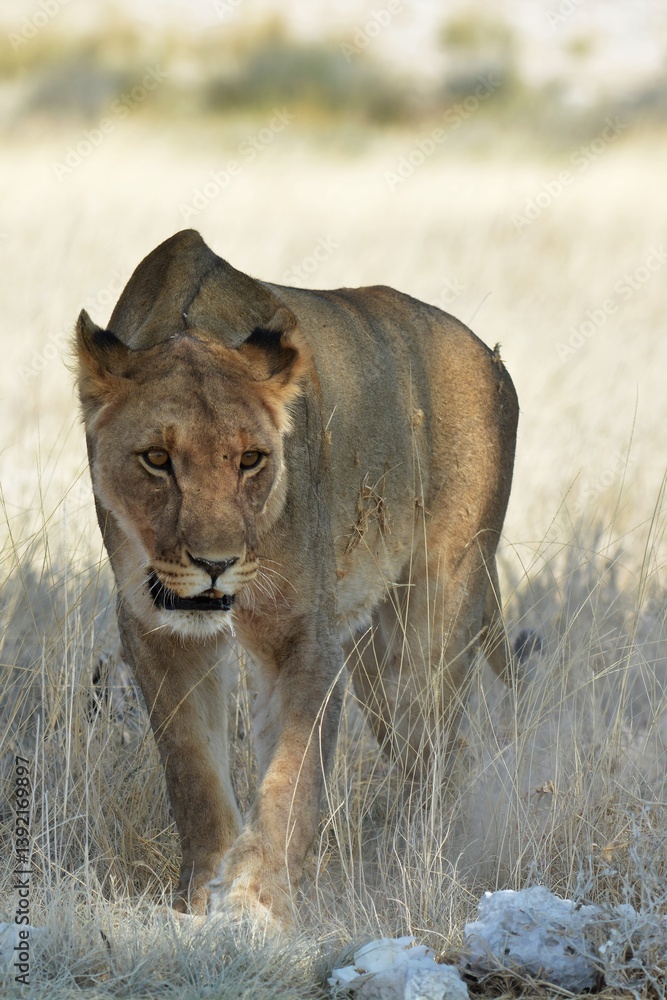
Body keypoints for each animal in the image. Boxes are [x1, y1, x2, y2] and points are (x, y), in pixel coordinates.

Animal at [75, 229, 518, 927]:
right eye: (157, 458)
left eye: (251, 459)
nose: (215, 564)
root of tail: (488, 355)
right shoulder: (156, 630)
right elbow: (192, 769)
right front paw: (200, 899)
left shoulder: (302, 633)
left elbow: (292, 772)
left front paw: (256, 905)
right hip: (372, 658)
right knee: (421, 747)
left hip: (437, 610)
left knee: (442, 747)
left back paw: (416, 861)